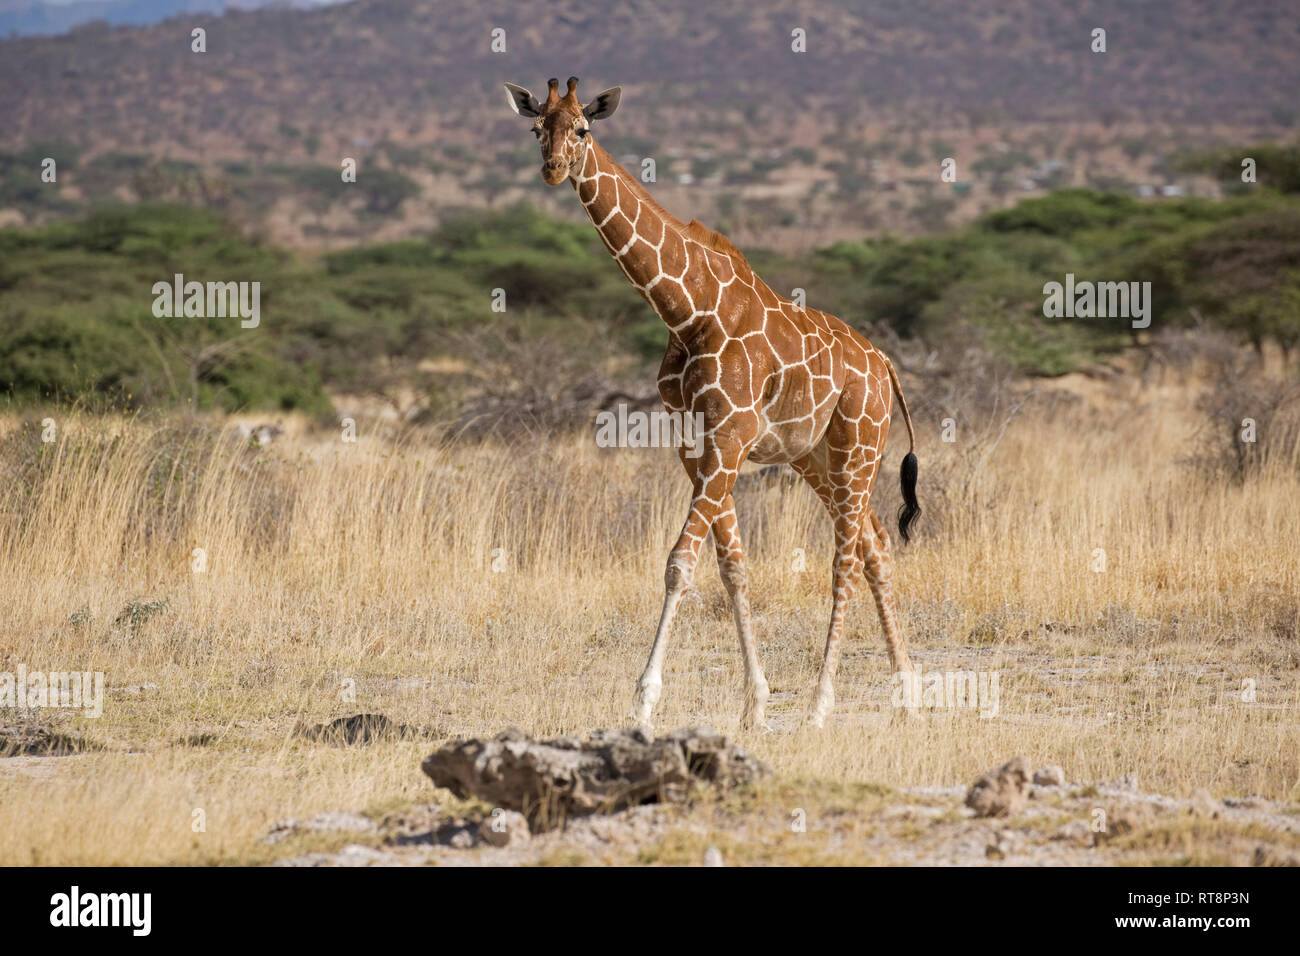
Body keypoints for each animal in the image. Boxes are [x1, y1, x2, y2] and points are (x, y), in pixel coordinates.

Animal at [501, 78, 920, 728]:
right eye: (535, 127)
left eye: (583, 130)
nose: (552, 169)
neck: (686, 309)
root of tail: (886, 366)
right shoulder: (695, 443)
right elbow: (732, 565)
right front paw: (755, 703)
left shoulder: (729, 435)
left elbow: (680, 563)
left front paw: (644, 703)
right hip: (816, 458)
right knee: (875, 547)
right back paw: (907, 695)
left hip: (859, 445)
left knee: (846, 558)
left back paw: (821, 706)